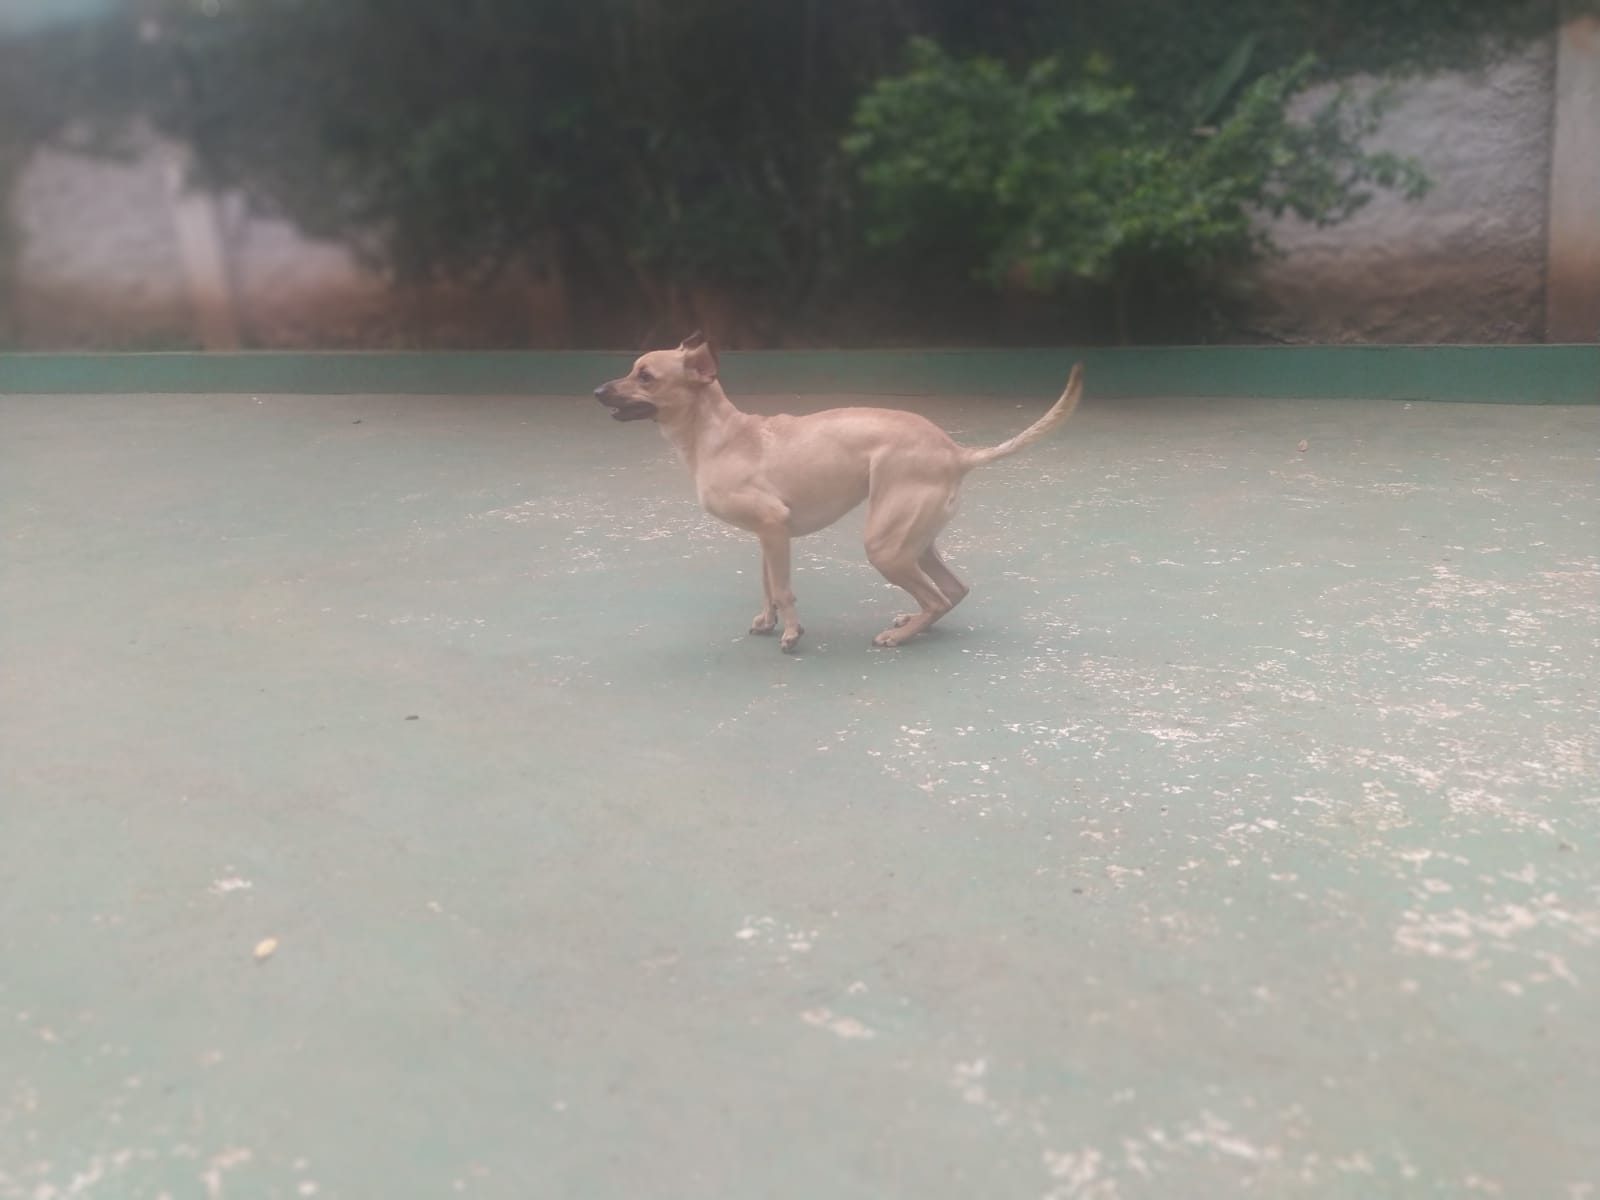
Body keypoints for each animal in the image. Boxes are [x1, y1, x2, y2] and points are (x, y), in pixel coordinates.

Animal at [594, 333, 1082, 651]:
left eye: (645, 376)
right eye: (633, 370)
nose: (597, 390)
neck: (720, 436)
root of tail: (956, 452)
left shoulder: (774, 528)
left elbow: (784, 588)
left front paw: (791, 633)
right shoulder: (767, 538)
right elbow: (767, 585)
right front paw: (769, 621)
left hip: (885, 547)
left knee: (936, 596)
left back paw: (899, 636)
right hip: (914, 544)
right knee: (951, 592)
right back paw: (915, 622)